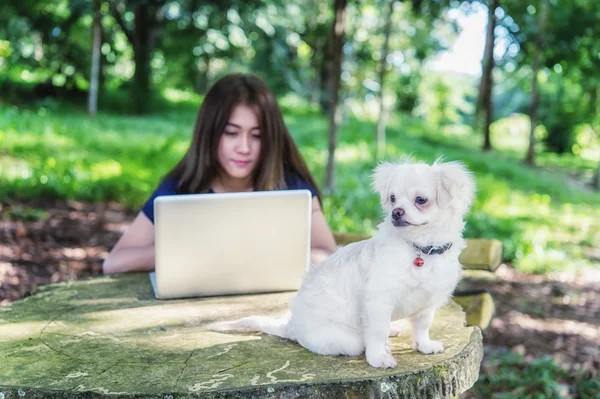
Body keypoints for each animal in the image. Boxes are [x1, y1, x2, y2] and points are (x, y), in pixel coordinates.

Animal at [209, 159, 476, 368]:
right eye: (392, 199)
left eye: (420, 200)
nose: (396, 212)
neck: (421, 249)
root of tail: (291, 326)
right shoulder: (379, 300)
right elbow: (376, 332)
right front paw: (379, 357)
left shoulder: (426, 303)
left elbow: (422, 327)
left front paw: (424, 345)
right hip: (348, 339)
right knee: (364, 338)